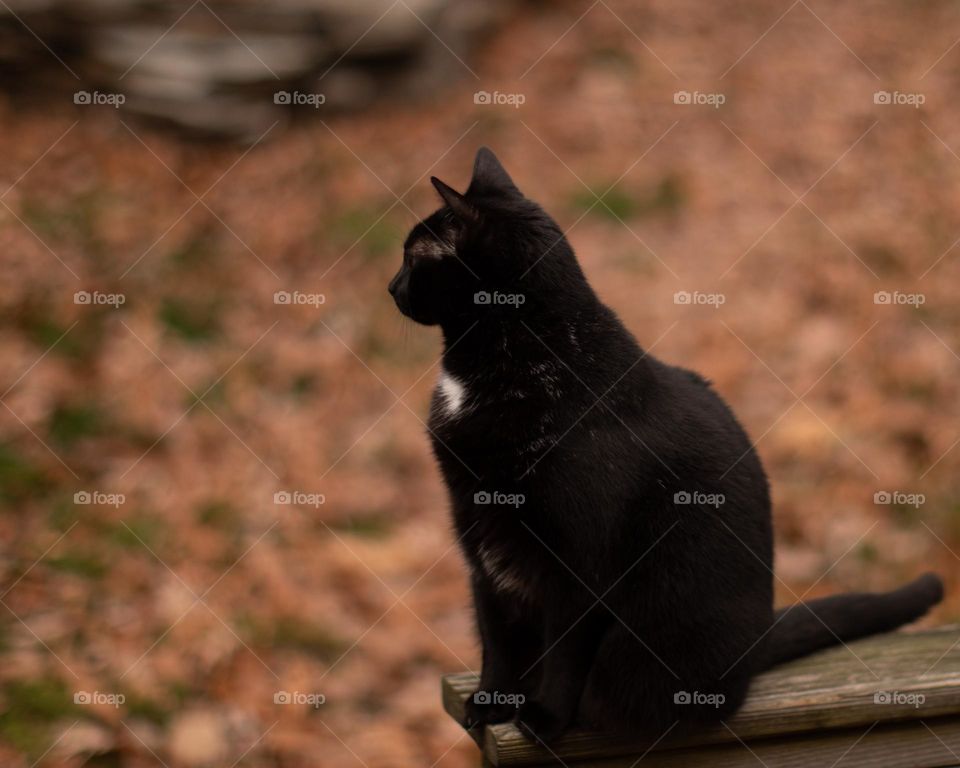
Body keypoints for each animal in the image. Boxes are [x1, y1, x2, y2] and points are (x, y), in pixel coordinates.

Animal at [386, 146, 940, 744]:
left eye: (413, 257)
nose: (390, 287)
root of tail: (753, 651)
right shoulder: (481, 541)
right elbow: (497, 638)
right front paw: (492, 703)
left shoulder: (578, 565)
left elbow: (563, 653)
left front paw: (543, 719)